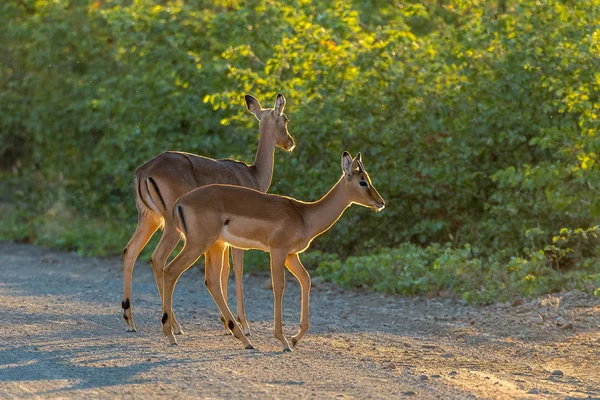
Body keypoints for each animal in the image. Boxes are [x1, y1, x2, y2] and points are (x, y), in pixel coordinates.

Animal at [120, 93, 294, 334]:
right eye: (285, 119)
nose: (290, 142)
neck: (253, 174)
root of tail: (144, 170)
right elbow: (236, 269)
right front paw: (243, 325)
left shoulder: (221, 239)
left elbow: (223, 270)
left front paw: (226, 323)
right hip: (172, 227)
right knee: (158, 259)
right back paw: (175, 325)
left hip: (149, 219)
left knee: (131, 251)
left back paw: (131, 321)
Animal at [159, 152, 384, 352]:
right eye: (363, 181)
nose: (381, 202)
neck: (304, 215)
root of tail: (180, 202)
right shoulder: (277, 251)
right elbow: (279, 287)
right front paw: (283, 341)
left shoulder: (292, 255)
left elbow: (306, 280)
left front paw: (294, 339)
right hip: (198, 244)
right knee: (170, 271)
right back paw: (171, 335)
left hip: (216, 246)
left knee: (211, 282)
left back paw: (245, 340)